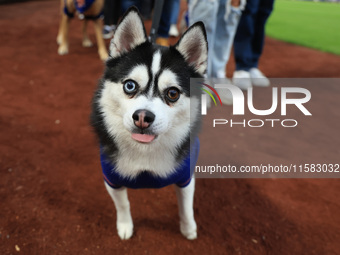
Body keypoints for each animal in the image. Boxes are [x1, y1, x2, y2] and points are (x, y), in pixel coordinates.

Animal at [90, 6, 207, 240]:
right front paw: (125, 225)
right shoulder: (112, 179)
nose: (143, 116)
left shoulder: (185, 178)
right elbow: (123, 204)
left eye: (173, 93)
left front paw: (188, 228)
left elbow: (186, 206)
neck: (145, 152)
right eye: (130, 85)